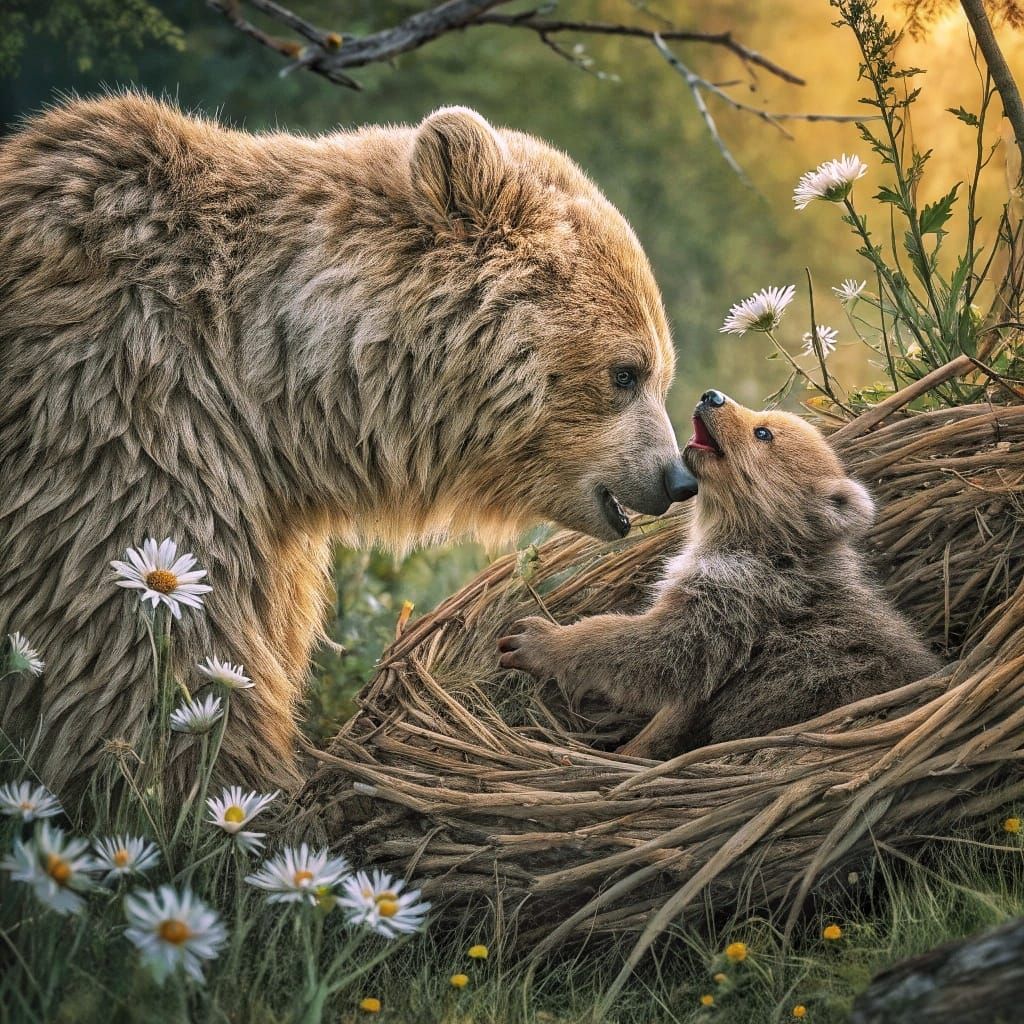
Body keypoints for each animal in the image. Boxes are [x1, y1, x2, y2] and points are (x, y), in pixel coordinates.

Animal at [498, 389, 940, 758]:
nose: (712, 396)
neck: (757, 544)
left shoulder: (733, 601)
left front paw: (538, 640)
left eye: (763, 432)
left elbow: (656, 651)